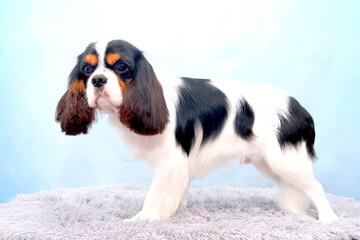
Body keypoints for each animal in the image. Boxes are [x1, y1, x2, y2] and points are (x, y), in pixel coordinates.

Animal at [55, 39, 338, 223]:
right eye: (87, 69)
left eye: (121, 67)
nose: (97, 80)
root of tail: (299, 107)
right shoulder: (179, 168)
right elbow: (175, 193)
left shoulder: (170, 164)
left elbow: (154, 196)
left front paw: (142, 219)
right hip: (270, 162)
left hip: (286, 160)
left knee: (316, 187)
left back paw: (328, 220)